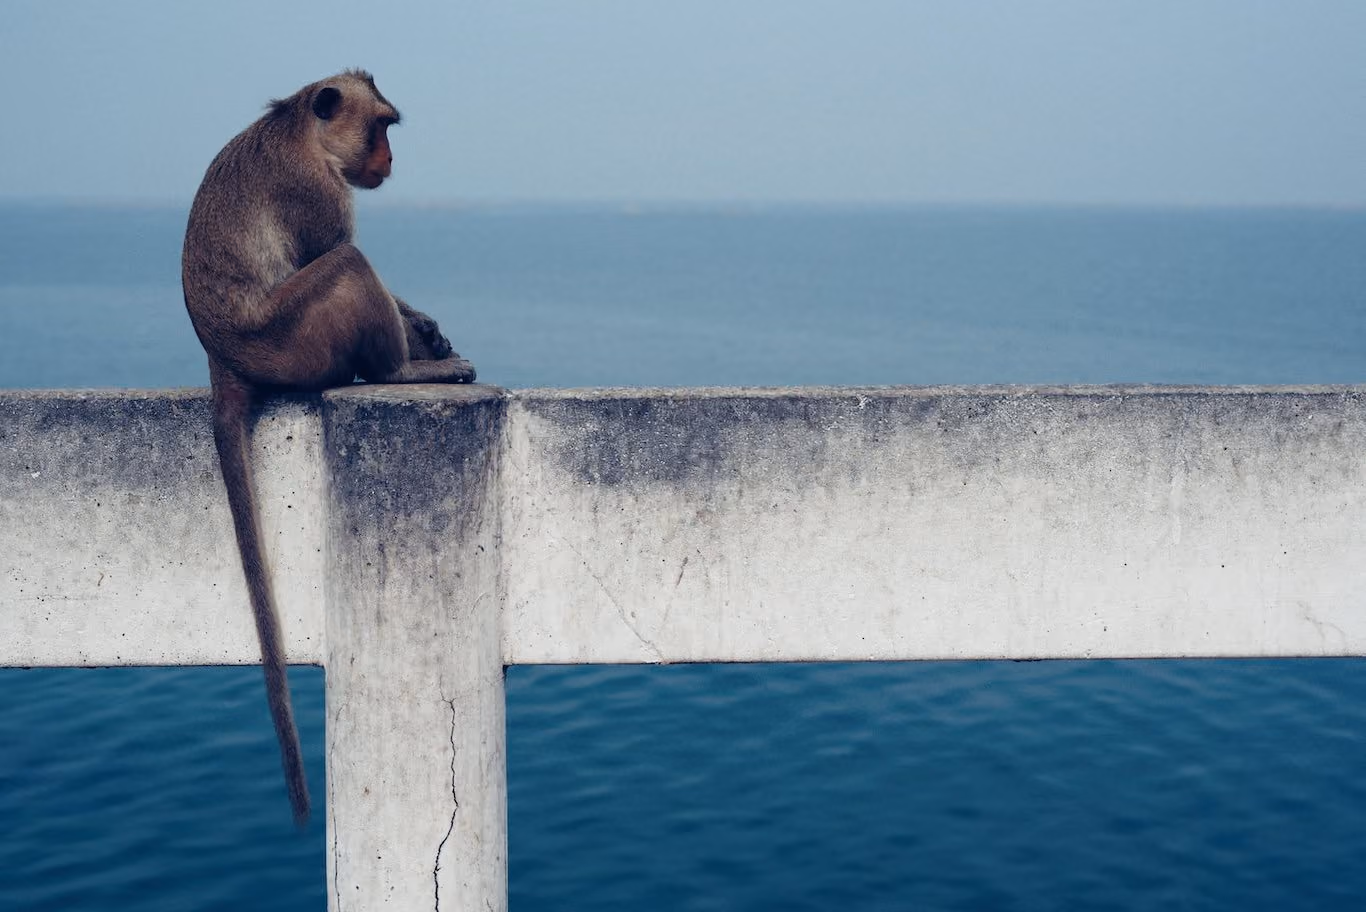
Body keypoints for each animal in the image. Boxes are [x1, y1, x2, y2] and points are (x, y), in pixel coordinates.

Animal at [182, 70, 475, 826]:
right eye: (382, 128)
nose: (390, 160)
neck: (299, 130)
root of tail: (223, 361)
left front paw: (427, 325)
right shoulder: (316, 192)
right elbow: (330, 249)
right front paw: (418, 339)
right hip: (295, 339)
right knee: (345, 263)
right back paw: (400, 371)